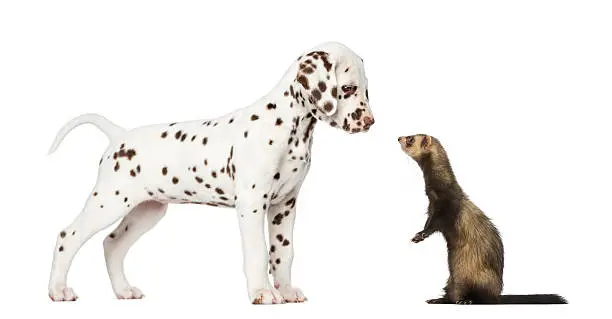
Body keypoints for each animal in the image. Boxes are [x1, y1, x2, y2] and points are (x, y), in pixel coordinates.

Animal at [47, 42, 372, 304]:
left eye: (365, 89)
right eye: (348, 89)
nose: (369, 121)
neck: (288, 126)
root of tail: (118, 135)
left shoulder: (285, 205)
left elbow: (283, 252)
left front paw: (287, 290)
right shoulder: (252, 205)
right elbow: (258, 252)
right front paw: (262, 292)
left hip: (146, 211)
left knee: (112, 244)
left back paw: (123, 290)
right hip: (108, 202)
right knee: (67, 236)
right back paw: (58, 290)